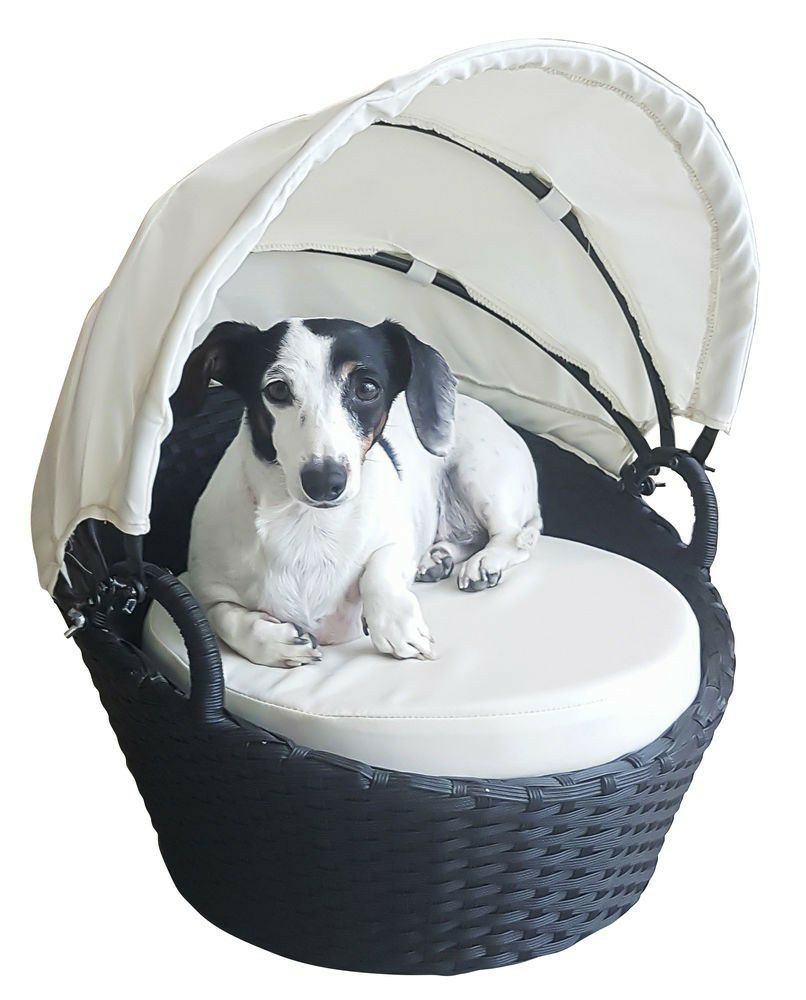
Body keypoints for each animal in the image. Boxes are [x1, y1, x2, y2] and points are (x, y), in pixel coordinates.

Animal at [173, 318, 541, 667]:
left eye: (366, 388)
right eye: (277, 389)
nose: (324, 481)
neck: (307, 523)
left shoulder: (397, 539)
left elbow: (378, 569)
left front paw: (396, 625)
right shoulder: (206, 590)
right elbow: (224, 618)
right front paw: (275, 643)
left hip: (480, 476)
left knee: (511, 537)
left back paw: (483, 563)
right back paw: (436, 558)